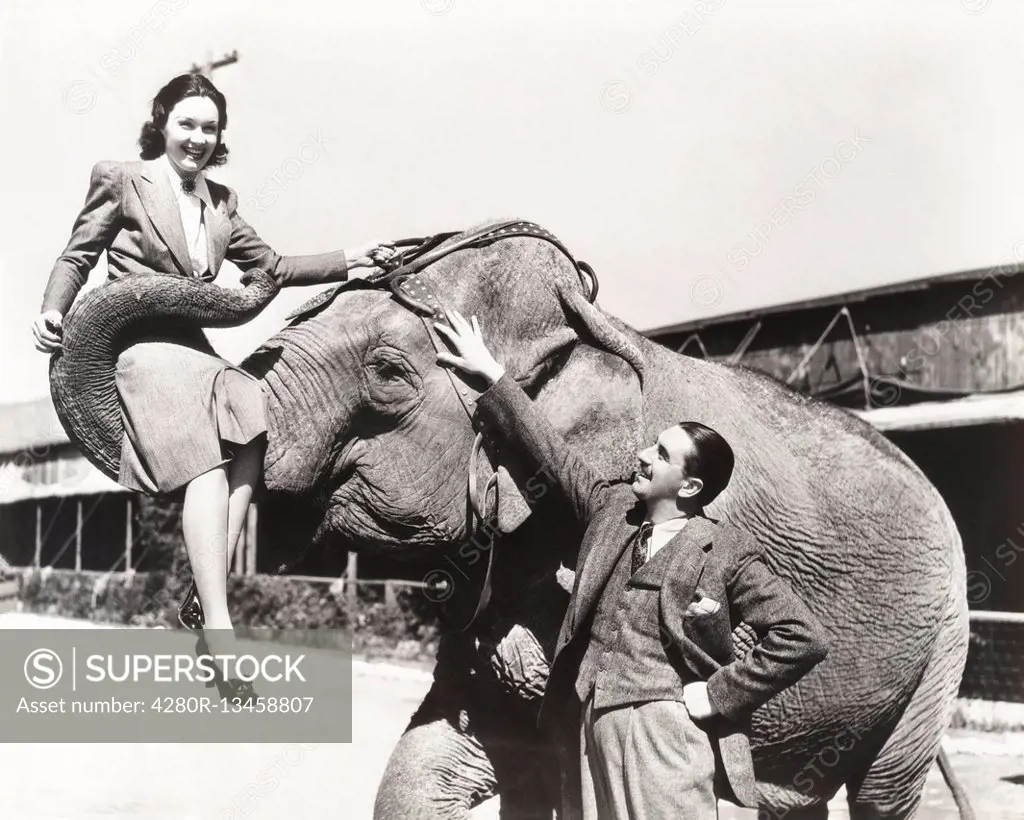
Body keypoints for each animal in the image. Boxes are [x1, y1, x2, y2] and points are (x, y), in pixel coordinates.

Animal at [51, 219, 970, 818]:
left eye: (389, 374)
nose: (255, 268)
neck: (589, 324)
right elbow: (426, 773)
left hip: (942, 645)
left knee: (884, 793)